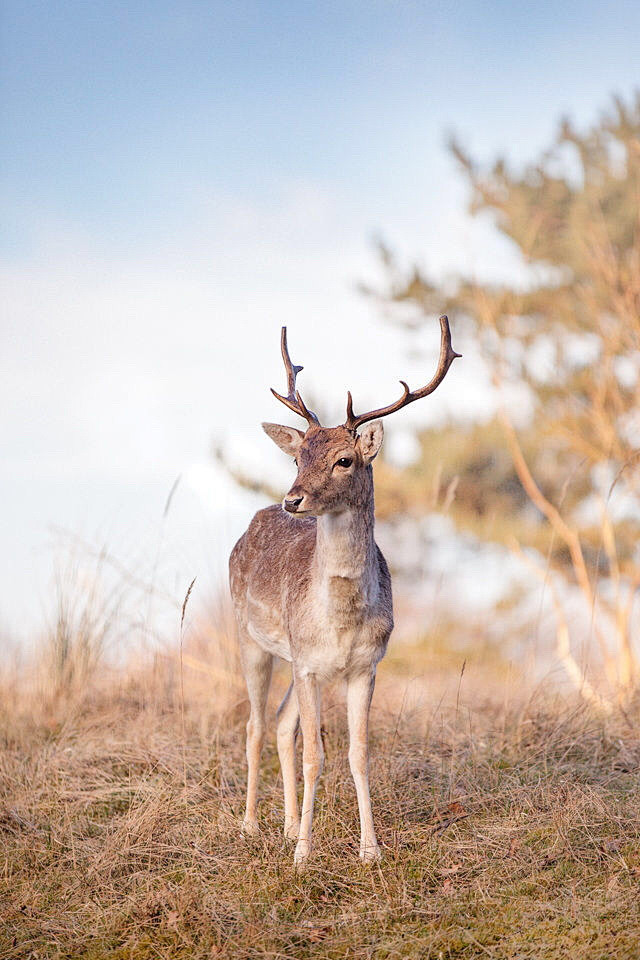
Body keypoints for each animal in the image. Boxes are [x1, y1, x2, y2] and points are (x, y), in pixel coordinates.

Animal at [228, 318, 458, 868]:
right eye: (298, 456)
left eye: (345, 459)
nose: (293, 499)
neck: (342, 620)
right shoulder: (310, 664)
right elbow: (316, 755)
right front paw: (304, 856)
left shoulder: (364, 667)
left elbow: (358, 754)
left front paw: (369, 850)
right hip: (249, 638)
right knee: (254, 725)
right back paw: (251, 826)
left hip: (291, 660)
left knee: (281, 723)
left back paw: (288, 825)